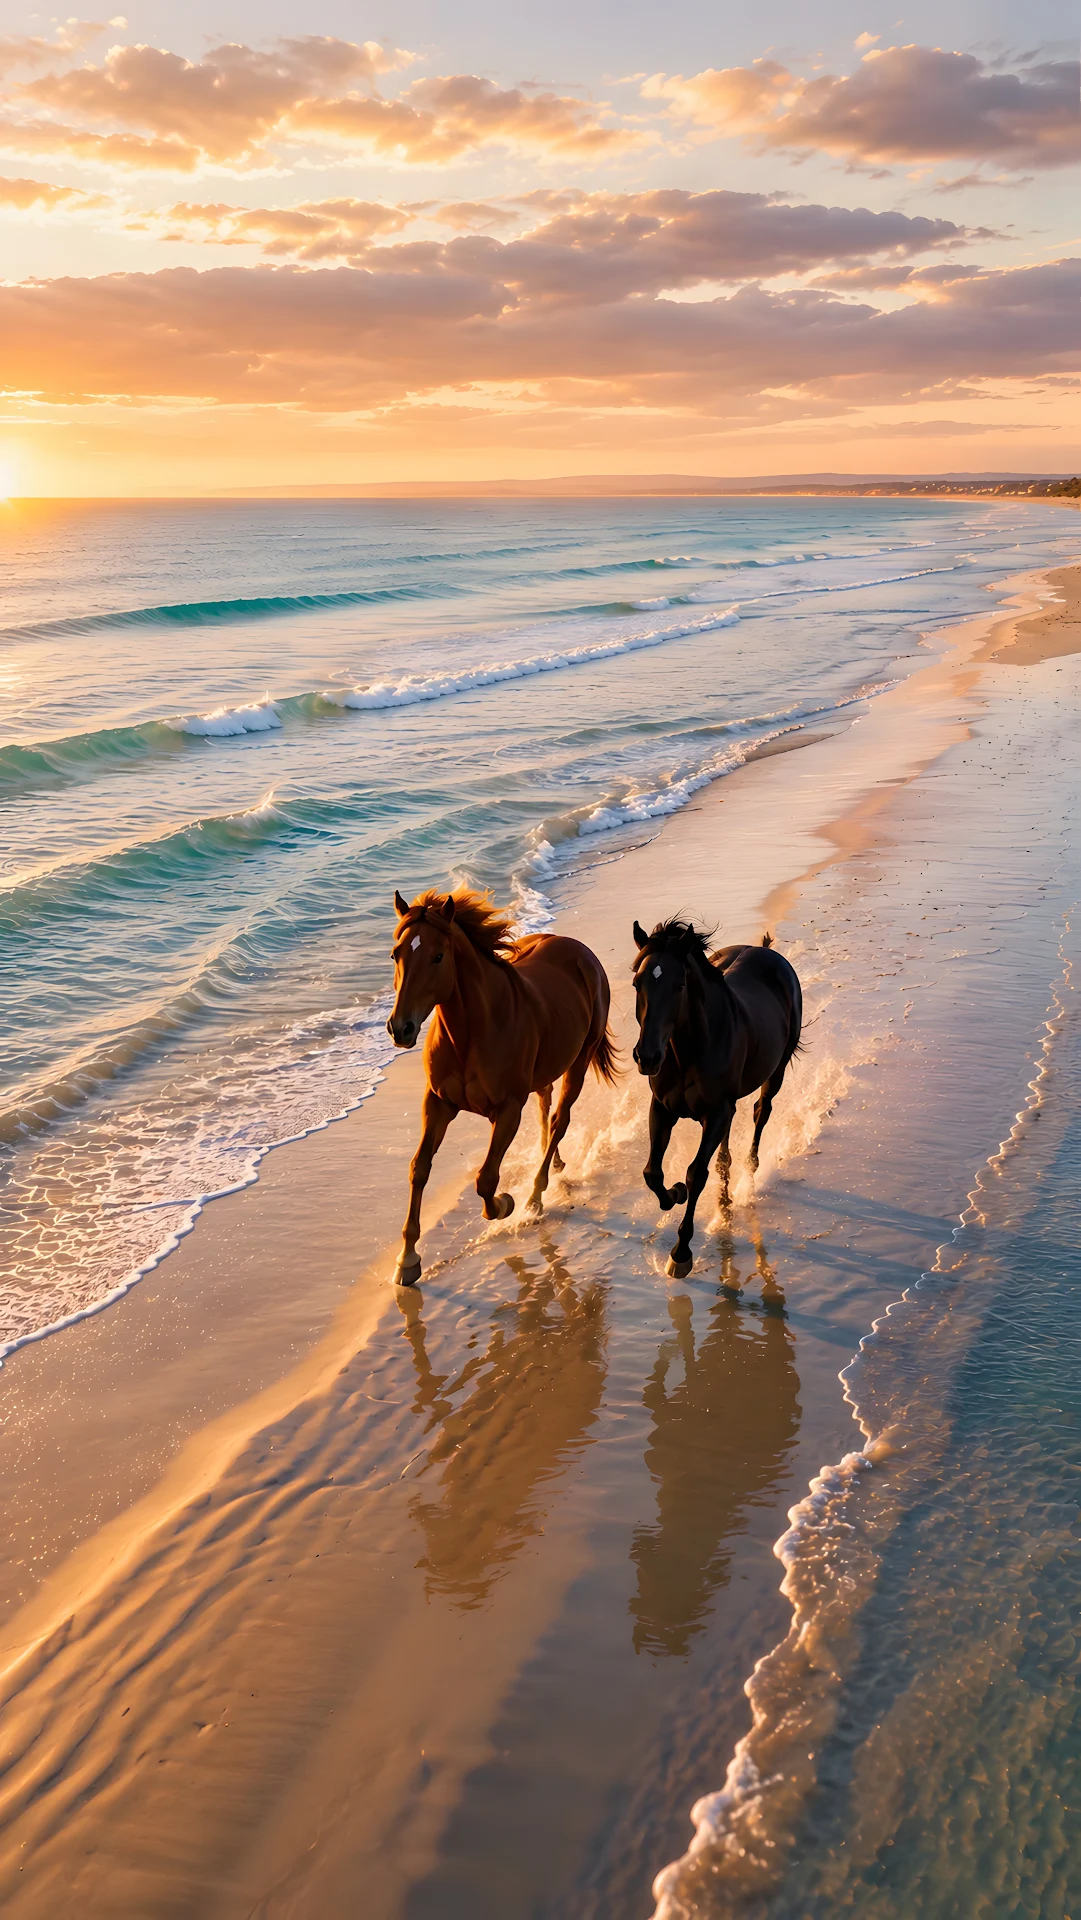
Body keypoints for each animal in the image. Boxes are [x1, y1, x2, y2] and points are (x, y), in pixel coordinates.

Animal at [387, 887, 618, 1285]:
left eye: (437, 956)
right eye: (395, 954)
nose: (400, 1028)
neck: (471, 1034)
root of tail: (579, 951)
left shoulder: (507, 1110)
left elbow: (486, 1180)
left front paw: (506, 1204)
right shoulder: (437, 1103)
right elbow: (419, 1168)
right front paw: (407, 1260)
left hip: (579, 1062)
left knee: (559, 1120)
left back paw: (535, 1198)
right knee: (546, 1108)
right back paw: (555, 1165)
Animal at [630, 918, 802, 1278]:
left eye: (680, 985)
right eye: (637, 982)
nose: (648, 1057)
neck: (689, 1051)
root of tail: (767, 951)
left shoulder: (716, 1112)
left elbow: (696, 1173)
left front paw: (681, 1253)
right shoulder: (662, 1108)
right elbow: (653, 1173)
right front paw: (675, 1194)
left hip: (776, 1071)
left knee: (761, 1112)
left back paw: (749, 1175)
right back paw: (724, 1198)